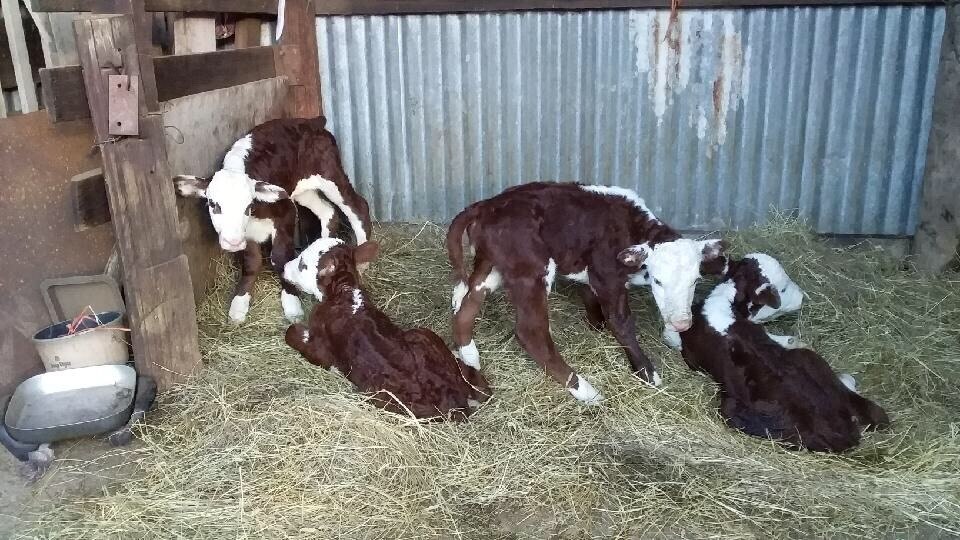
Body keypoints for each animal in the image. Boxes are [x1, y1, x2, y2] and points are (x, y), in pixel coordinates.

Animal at [174, 116, 371, 323]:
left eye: (248, 206)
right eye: (213, 205)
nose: (233, 242)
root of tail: (312, 121)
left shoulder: (286, 213)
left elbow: (280, 258)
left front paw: (292, 304)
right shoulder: (248, 231)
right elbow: (251, 263)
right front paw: (239, 304)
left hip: (330, 174)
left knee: (357, 207)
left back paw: (362, 259)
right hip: (301, 190)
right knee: (328, 211)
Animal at [283, 238, 492, 420]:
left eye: (302, 264)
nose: (284, 267)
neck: (344, 291)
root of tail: (455, 399)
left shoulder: (321, 348)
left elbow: (291, 333)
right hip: (424, 334)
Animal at [446, 181, 726, 404]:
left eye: (695, 280)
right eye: (657, 281)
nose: (682, 323)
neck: (632, 227)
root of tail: (487, 204)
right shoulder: (606, 275)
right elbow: (622, 322)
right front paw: (646, 371)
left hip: (490, 267)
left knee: (465, 309)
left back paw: (470, 360)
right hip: (531, 269)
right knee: (530, 332)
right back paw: (585, 391)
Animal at [678, 253, 890, 452]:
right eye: (783, 289)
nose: (803, 296)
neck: (723, 303)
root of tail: (843, 429)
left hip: (730, 410)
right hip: (809, 358)